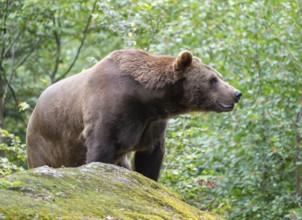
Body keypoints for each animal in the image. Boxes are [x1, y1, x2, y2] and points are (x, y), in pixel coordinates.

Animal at [27, 49, 242, 180]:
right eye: (212, 79)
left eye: (219, 76)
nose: (236, 93)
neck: (144, 99)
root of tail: (34, 110)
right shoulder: (107, 111)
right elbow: (99, 151)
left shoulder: (151, 124)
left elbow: (150, 156)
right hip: (44, 145)